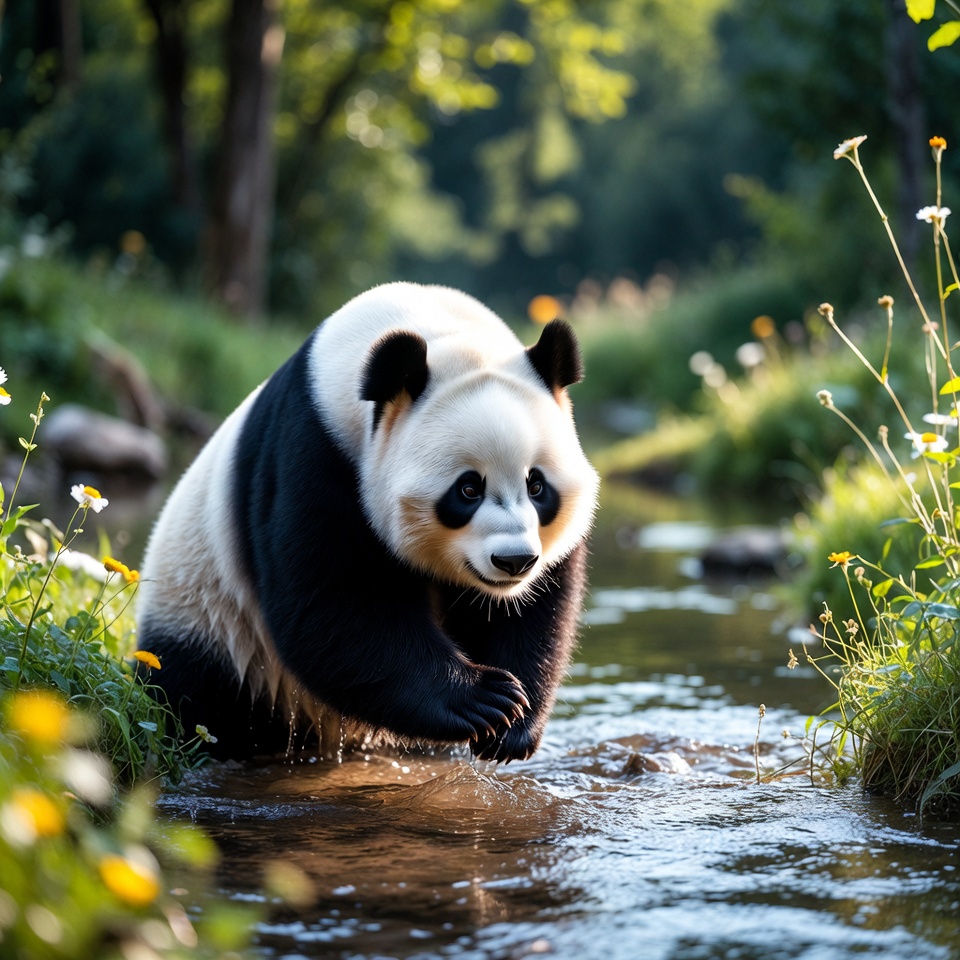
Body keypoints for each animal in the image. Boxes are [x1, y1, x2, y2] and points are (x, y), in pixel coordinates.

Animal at [137, 282, 599, 762]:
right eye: (468, 489)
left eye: (537, 485)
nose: (514, 561)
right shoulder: (315, 450)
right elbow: (332, 607)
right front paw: (485, 699)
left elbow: (536, 610)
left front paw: (513, 724)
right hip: (213, 624)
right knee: (202, 701)